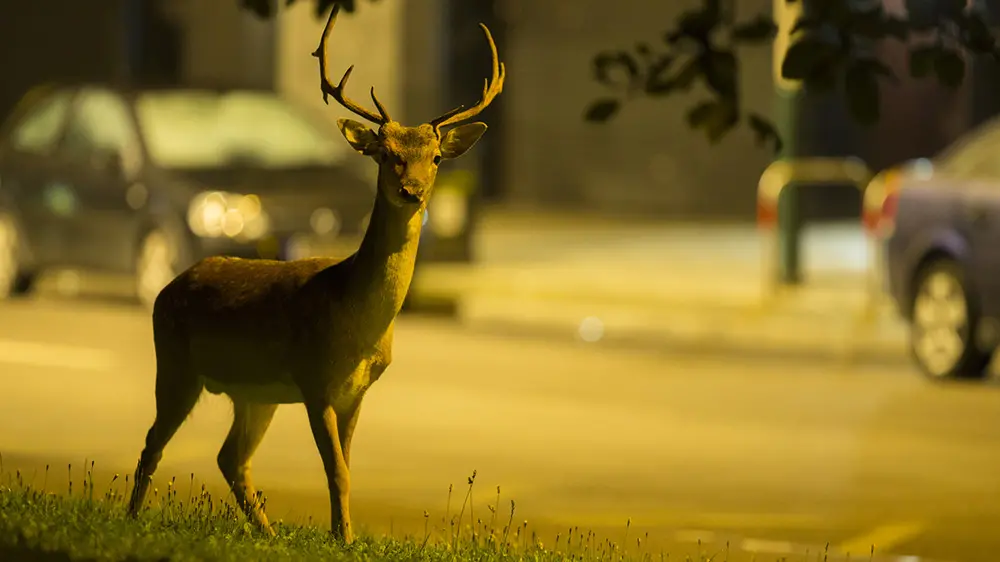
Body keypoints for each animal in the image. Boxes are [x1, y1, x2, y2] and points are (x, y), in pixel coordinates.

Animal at [127, 2, 500, 540]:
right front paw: (343, 537)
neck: (355, 319)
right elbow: (336, 470)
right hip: (175, 364)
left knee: (229, 458)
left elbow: (346, 465)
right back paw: (133, 518)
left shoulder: (354, 393)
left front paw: (341, 535)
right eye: (386, 154)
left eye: (433, 157)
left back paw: (266, 533)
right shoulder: (314, 380)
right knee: (153, 443)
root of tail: (168, 286)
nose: (412, 191)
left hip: (251, 393)